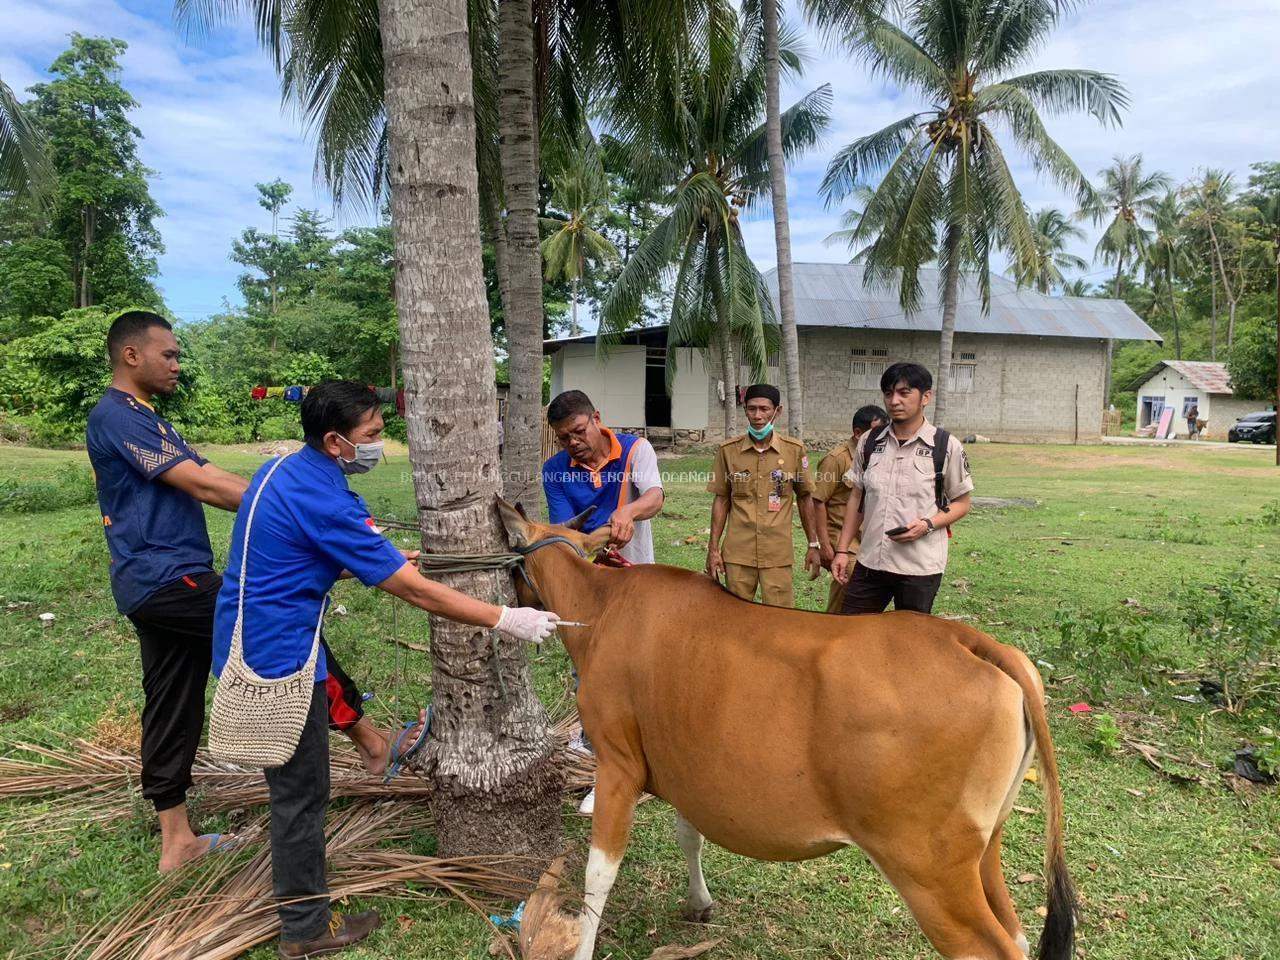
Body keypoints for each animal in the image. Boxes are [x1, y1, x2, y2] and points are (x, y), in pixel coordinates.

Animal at [494, 504, 1075, 960]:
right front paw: (699, 903)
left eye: (511, 559)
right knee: (1017, 933)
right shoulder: (683, 768)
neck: (603, 606)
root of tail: (972, 642)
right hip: (983, 848)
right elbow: (689, 835)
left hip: (930, 870)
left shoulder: (617, 764)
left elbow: (599, 874)